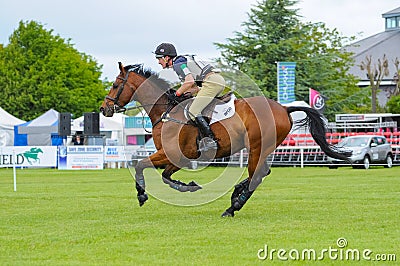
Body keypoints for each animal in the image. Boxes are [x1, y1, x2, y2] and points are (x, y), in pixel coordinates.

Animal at [100, 63, 350, 217]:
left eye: (115, 85)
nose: (104, 109)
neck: (168, 111)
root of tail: (284, 108)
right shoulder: (179, 157)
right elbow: (165, 176)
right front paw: (188, 186)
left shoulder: (172, 153)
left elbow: (140, 166)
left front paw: (142, 194)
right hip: (263, 148)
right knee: (260, 173)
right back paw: (235, 195)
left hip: (258, 146)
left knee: (257, 175)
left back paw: (233, 206)